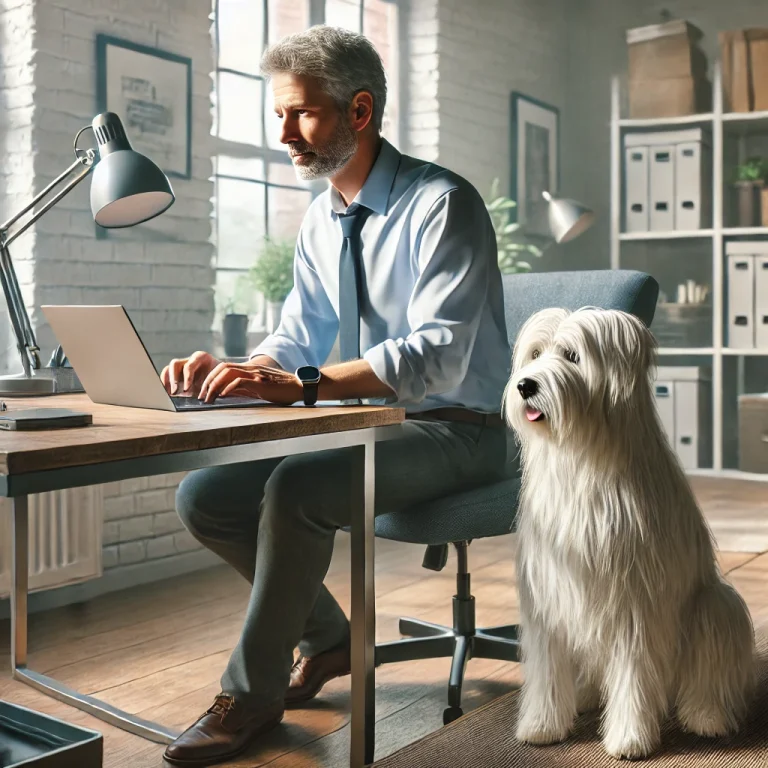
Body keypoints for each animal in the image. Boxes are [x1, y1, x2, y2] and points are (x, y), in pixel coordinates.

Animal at [504, 308, 756, 760]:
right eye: (534, 354)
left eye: (572, 355)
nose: (525, 385)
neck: (581, 459)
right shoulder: (549, 592)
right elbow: (548, 668)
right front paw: (542, 726)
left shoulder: (635, 599)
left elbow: (634, 674)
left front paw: (629, 739)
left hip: (714, 605)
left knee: (706, 676)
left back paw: (707, 717)